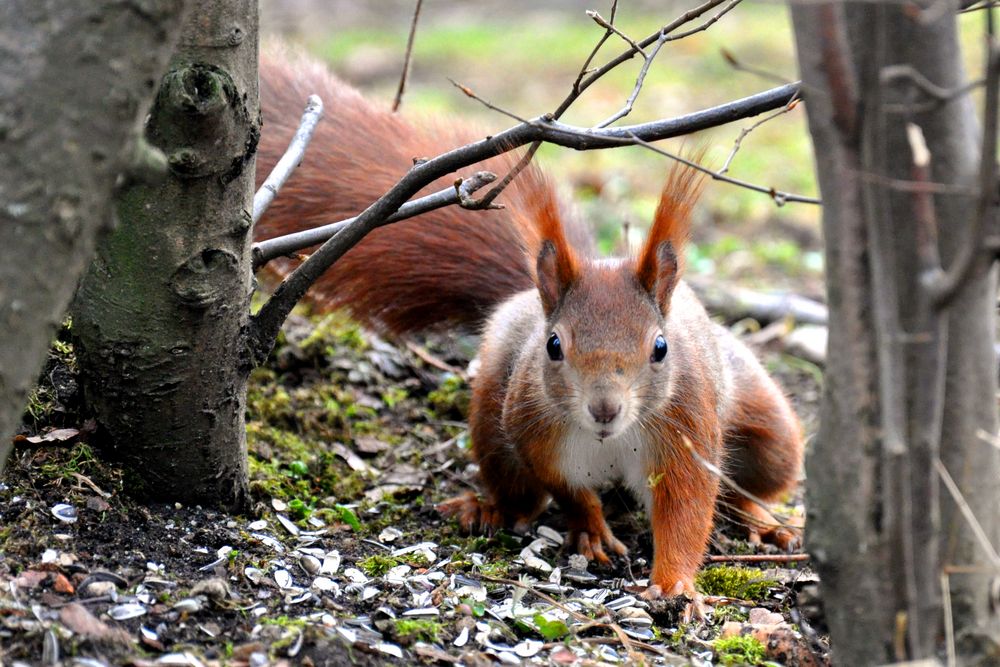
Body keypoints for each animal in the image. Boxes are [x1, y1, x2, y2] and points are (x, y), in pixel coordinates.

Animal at [256, 48, 804, 600]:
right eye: (554, 345)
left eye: (661, 349)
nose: (604, 408)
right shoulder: (535, 432)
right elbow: (567, 490)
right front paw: (592, 530)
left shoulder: (685, 432)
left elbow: (687, 509)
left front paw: (675, 586)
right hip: (491, 421)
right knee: (519, 492)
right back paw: (487, 509)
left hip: (769, 431)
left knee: (752, 481)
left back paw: (764, 521)